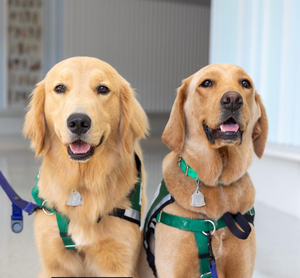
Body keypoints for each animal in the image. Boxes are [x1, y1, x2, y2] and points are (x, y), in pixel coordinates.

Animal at [23, 57, 149, 278]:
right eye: (60, 88)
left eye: (102, 89)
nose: (78, 122)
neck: (81, 181)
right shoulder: (53, 264)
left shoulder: (118, 262)